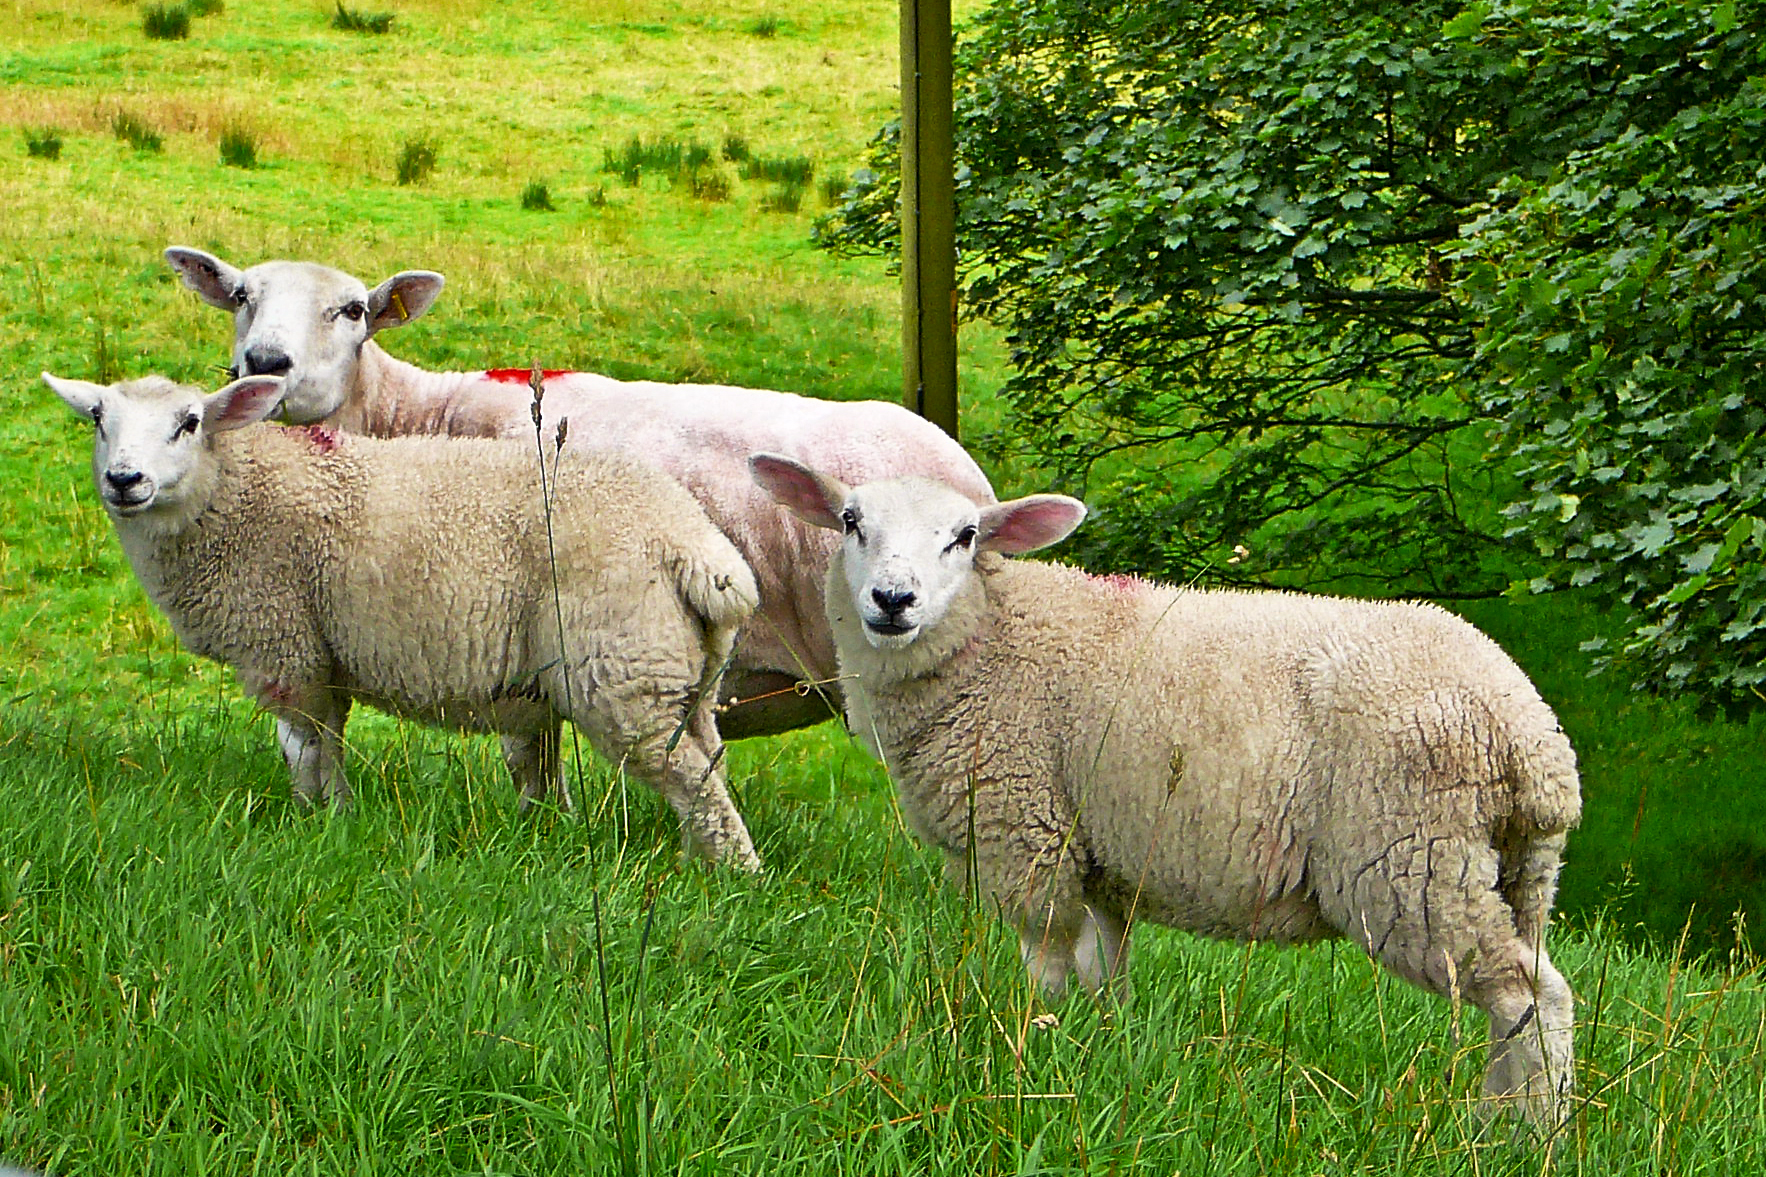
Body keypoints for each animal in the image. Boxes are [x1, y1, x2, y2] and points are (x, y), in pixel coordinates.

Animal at [44, 371, 762, 865]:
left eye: (190, 422)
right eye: (99, 417)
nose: (124, 480)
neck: (234, 495)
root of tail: (699, 551)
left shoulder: (286, 645)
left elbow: (305, 748)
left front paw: (315, 819)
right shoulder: (322, 656)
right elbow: (328, 743)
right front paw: (340, 817)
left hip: (619, 666)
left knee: (690, 778)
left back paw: (736, 877)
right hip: (684, 671)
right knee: (708, 765)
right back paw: (694, 859)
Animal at [752, 452, 1582, 1123]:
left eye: (963, 535)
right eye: (852, 522)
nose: (893, 600)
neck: (995, 637)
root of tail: (1533, 739)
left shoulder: (1026, 836)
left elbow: (1047, 969)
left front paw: (1034, 1052)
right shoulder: (1104, 858)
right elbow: (1106, 976)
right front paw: (1101, 1055)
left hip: (1409, 861)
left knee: (1530, 995)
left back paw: (1524, 1135)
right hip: (1516, 871)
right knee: (1517, 1002)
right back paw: (1500, 1117)